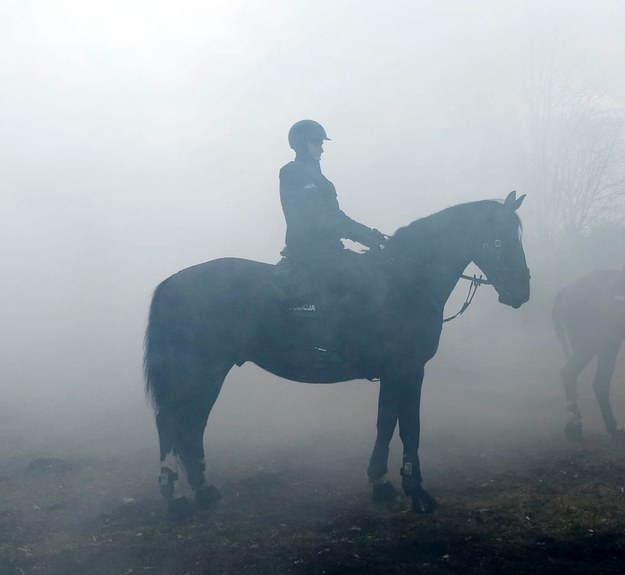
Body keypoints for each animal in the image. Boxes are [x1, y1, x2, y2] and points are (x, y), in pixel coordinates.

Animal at [144, 191, 528, 516]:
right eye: (502, 239)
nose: (522, 291)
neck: (405, 281)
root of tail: (172, 283)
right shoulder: (406, 370)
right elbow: (406, 426)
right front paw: (414, 490)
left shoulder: (399, 373)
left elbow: (389, 422)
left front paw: (383, 482)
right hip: (199, 371)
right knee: (174, 423)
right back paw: (175, 496)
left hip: (206, 372)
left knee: (190, 425)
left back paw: (203, 490)